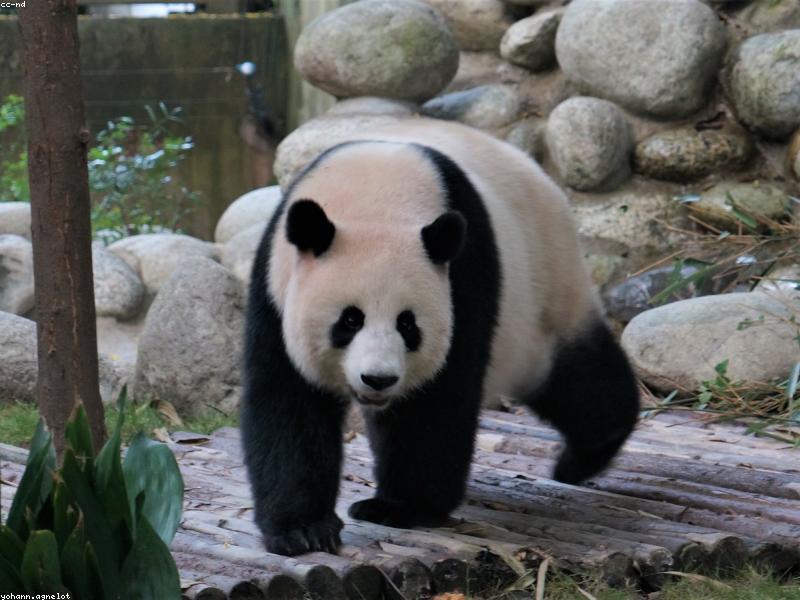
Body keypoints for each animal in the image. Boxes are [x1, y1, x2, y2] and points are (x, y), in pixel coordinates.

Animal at [241, 118, 639, 556]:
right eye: (349, 320)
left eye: (407, 324)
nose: (378, 379)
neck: (377, 196)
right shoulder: (275, 287)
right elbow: (289, 402)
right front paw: (304, 529)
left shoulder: (463, 277)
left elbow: (436, 400)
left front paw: (401, 507)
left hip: (544, 291)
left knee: (577, 379)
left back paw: (584, 455)